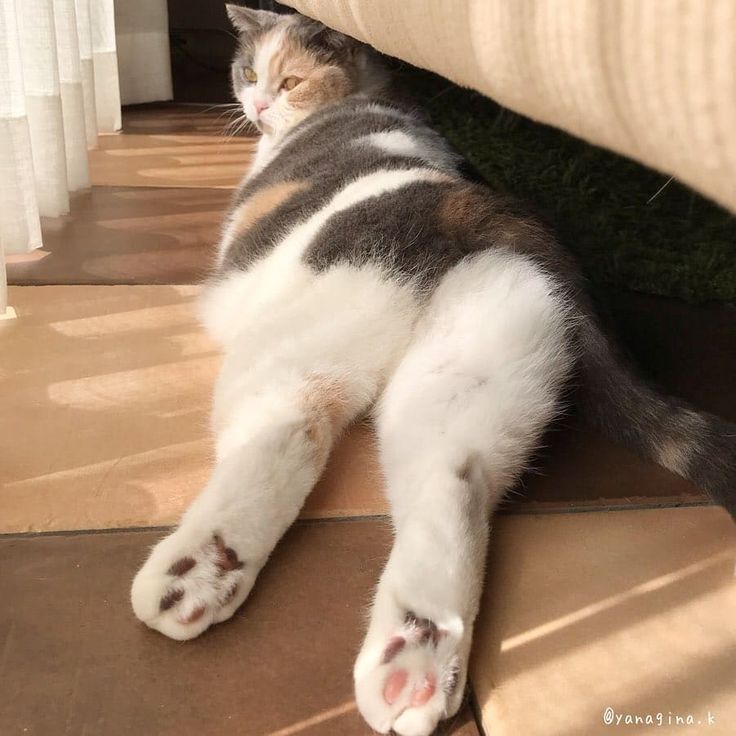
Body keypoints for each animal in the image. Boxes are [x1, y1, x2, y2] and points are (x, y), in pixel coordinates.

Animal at [132, 7, 736, 736]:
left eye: (287, 79)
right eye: (248, 70)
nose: (257, 104)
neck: (368, 97)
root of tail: (473, 206)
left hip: (299, 337)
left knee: (291, 428)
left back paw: (194, 575)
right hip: (465, 374)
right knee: (452, 485)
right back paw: (413, 663)